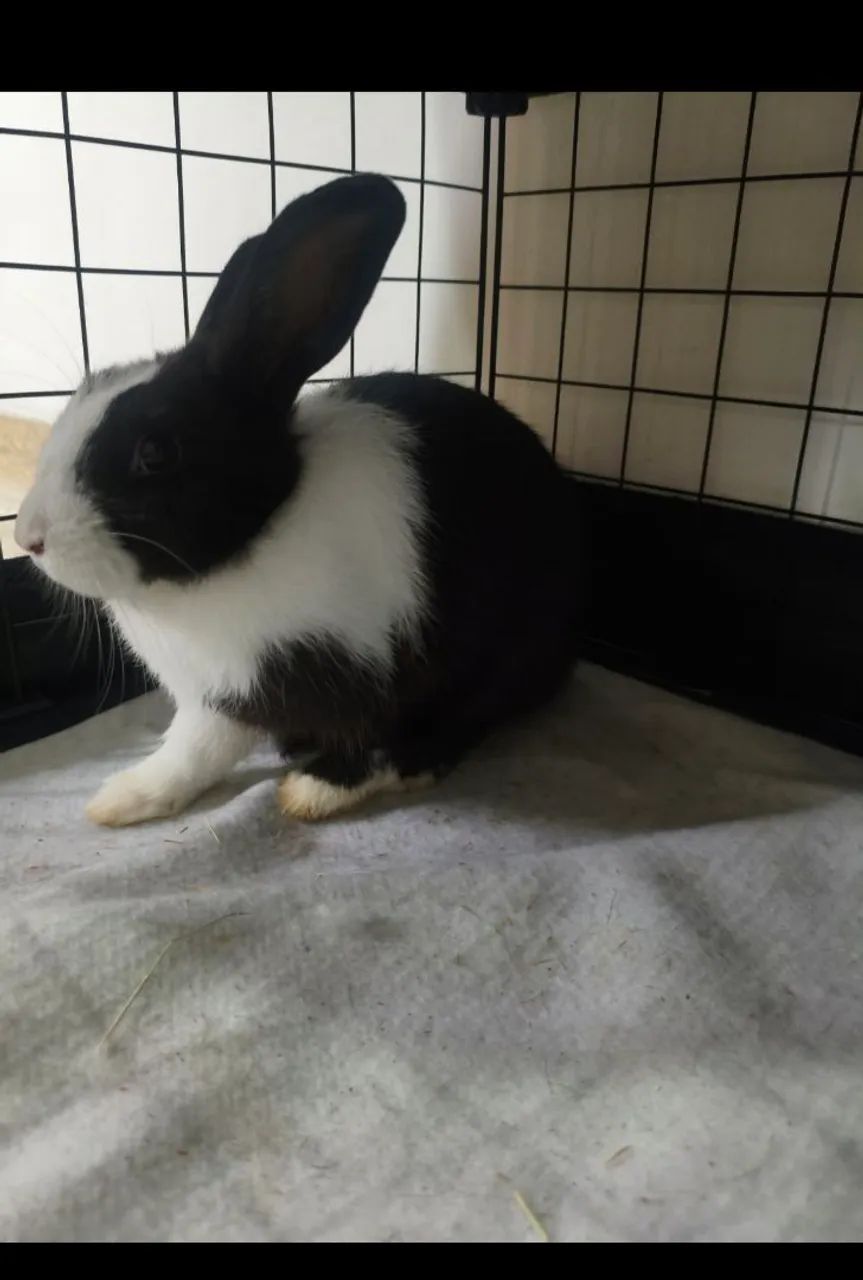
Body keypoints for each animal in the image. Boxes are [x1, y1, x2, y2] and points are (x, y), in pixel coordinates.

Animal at [15, 173, 584, 827]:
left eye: (155, 453)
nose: (27, 537)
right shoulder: (223, 693)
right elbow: (193, 750)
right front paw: (125, 798)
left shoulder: (375, 666)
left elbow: (367, 742)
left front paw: (314, 792)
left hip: (510, 646)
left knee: (471, 715)